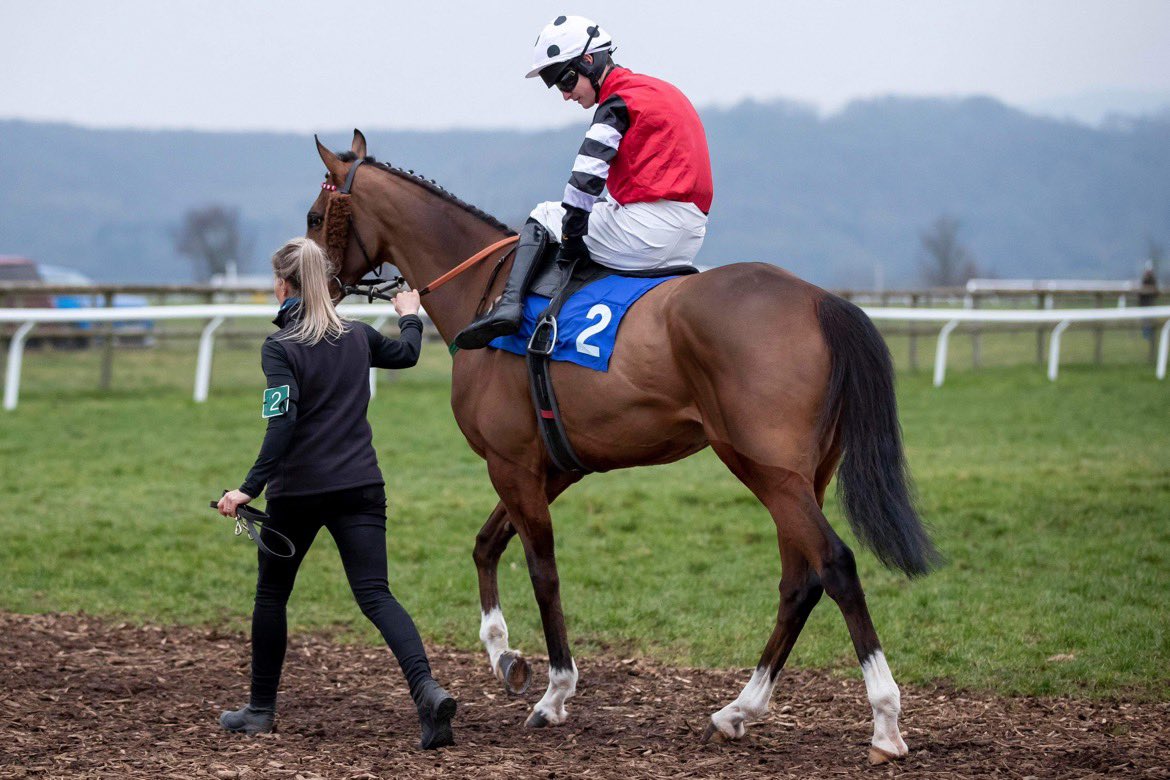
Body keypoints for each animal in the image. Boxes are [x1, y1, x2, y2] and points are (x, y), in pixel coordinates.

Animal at [306, 130, 939, 764]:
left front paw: (555, 693)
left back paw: (885, 723)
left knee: (834, 565)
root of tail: (819, 300)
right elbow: (487, 545)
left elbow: (542, 571)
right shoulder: (552, 466)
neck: (486, 293)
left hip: (767, 469)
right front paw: (504, 655)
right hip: (804, 475)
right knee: (799, 582)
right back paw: (737, 711)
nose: (307, 288)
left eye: (315, 216)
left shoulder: (511, 464)